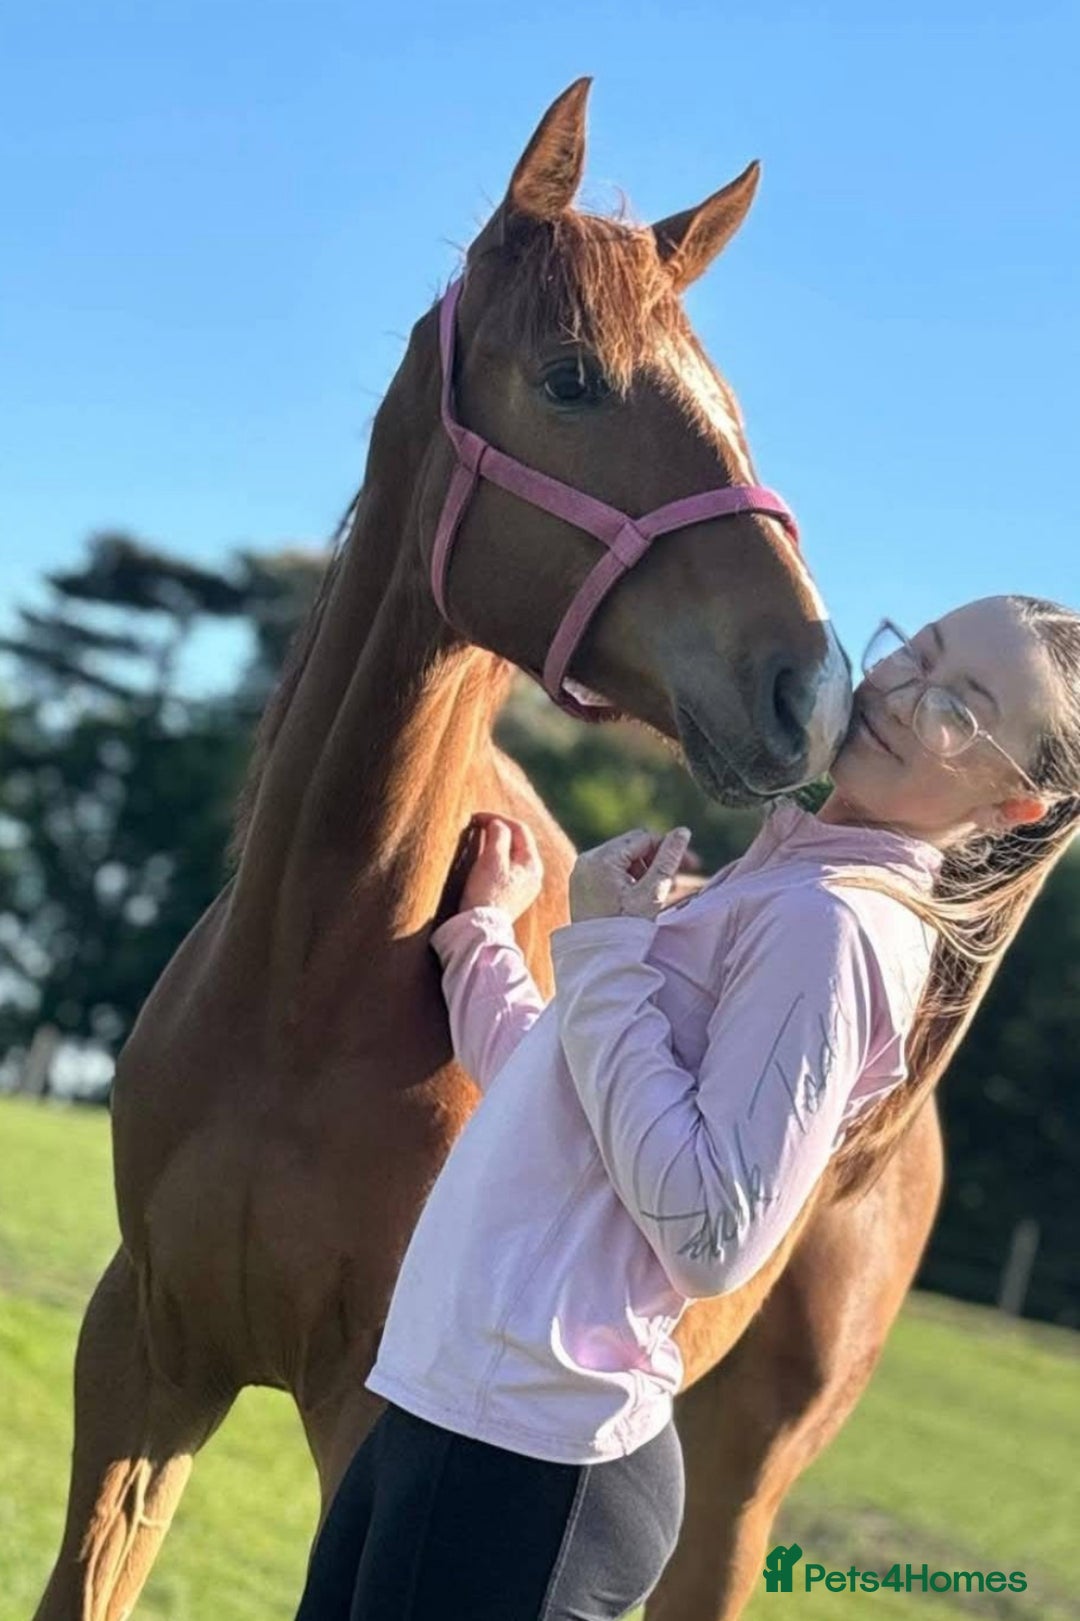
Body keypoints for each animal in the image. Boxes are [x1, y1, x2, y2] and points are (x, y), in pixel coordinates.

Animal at [33, 78, 944, 1621]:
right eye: (572, 378)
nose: (809, 688)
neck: (312, 975)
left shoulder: (371, 1414)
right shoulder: (145, 1366)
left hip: (741, 1483)